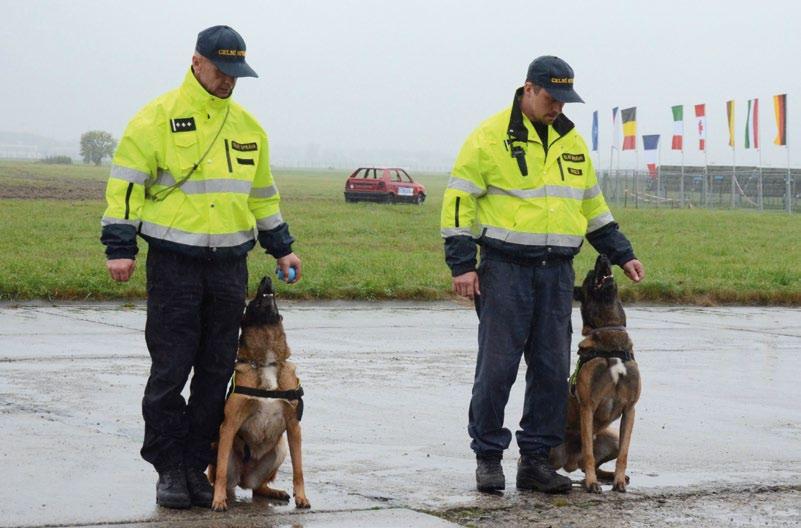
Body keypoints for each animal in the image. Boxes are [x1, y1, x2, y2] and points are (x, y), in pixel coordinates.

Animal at [209, 276, 310, 512]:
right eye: (251, 302)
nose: (266, 278)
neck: (266, 362)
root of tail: (243, 477)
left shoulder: (294, 426)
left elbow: (299, 469)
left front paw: (302, 497)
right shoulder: (229, 425)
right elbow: (220, 472)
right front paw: (218, 500)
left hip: (279, 450)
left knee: (258, 488)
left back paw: (273, 491)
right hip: (218, 447)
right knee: (221, 477)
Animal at [552, 254, 644, 492]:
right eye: (590, 275)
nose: (603, 256)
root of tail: (570, 462)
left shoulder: (630, 410)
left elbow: (624, 453)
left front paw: (619, 481)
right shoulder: (588, 407)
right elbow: (589, 452)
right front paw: (592, 484)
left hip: (610, 437)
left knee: (590, 464)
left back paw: (612, 477)